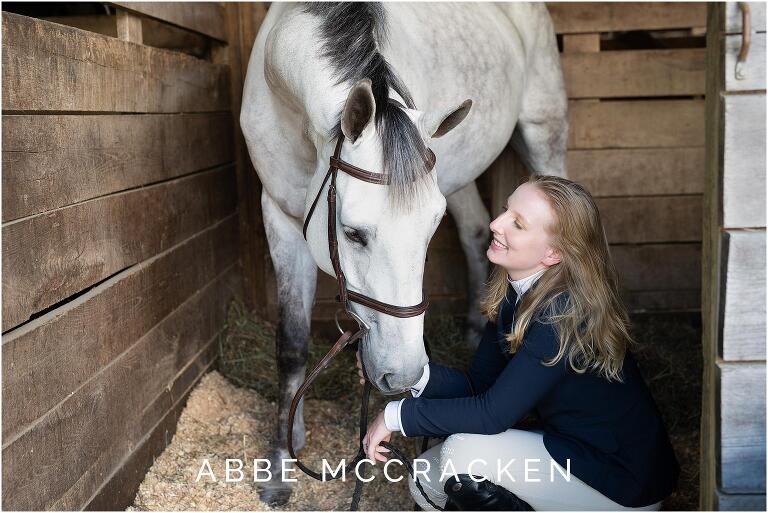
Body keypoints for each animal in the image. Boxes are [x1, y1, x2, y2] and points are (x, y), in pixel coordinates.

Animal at [240, 2, 567, 505]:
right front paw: (281, 461)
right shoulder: (278, 214)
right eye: (353, 234)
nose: (405, 373)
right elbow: (291, 345)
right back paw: (474, 329)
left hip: (543, 131)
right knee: (476, 232)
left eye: (429, 231)